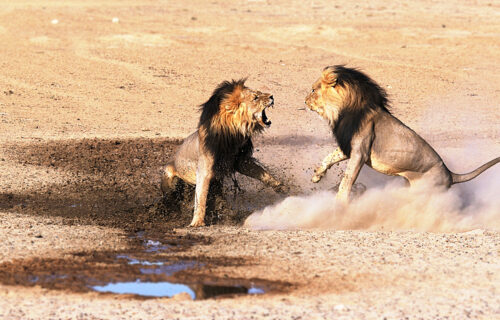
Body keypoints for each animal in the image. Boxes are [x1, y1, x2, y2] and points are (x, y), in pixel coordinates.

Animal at [160, 79, 286, 226]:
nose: (272, 96)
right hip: (169, 176)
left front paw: (281, 187)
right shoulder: (204, 169)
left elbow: (263, 174)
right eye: (255, 97)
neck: (233, 134)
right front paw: (197, 222)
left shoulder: (240, 161)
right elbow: (201, 197)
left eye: (260, 93)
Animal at [304, 65, 500, 202]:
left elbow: (346, 180)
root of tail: (450, 174)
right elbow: (329, 158)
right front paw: (316, 176)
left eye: (313, 90)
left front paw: (339, 203)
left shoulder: (360, 152)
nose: (304, 101)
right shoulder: (349, 147)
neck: (343, 109)